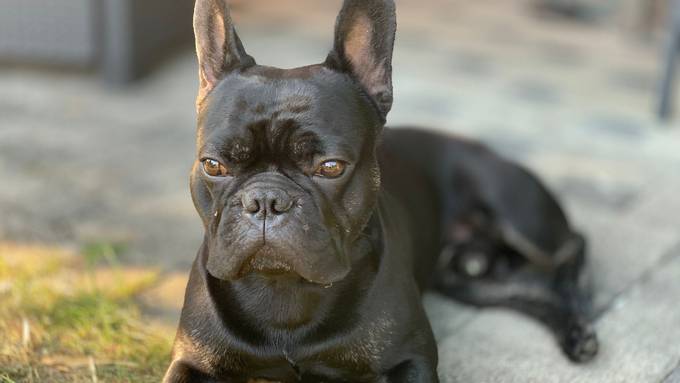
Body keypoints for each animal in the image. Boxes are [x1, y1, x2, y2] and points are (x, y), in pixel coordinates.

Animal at [165, 1, 600, 382]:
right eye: (213, 165)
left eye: (330, 167)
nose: (266, 200)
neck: (284, 291)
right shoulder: (192, 361)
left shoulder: (410, 360)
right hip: (466, 279)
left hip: (521, 217)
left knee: (571, 249)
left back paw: (581, 323)